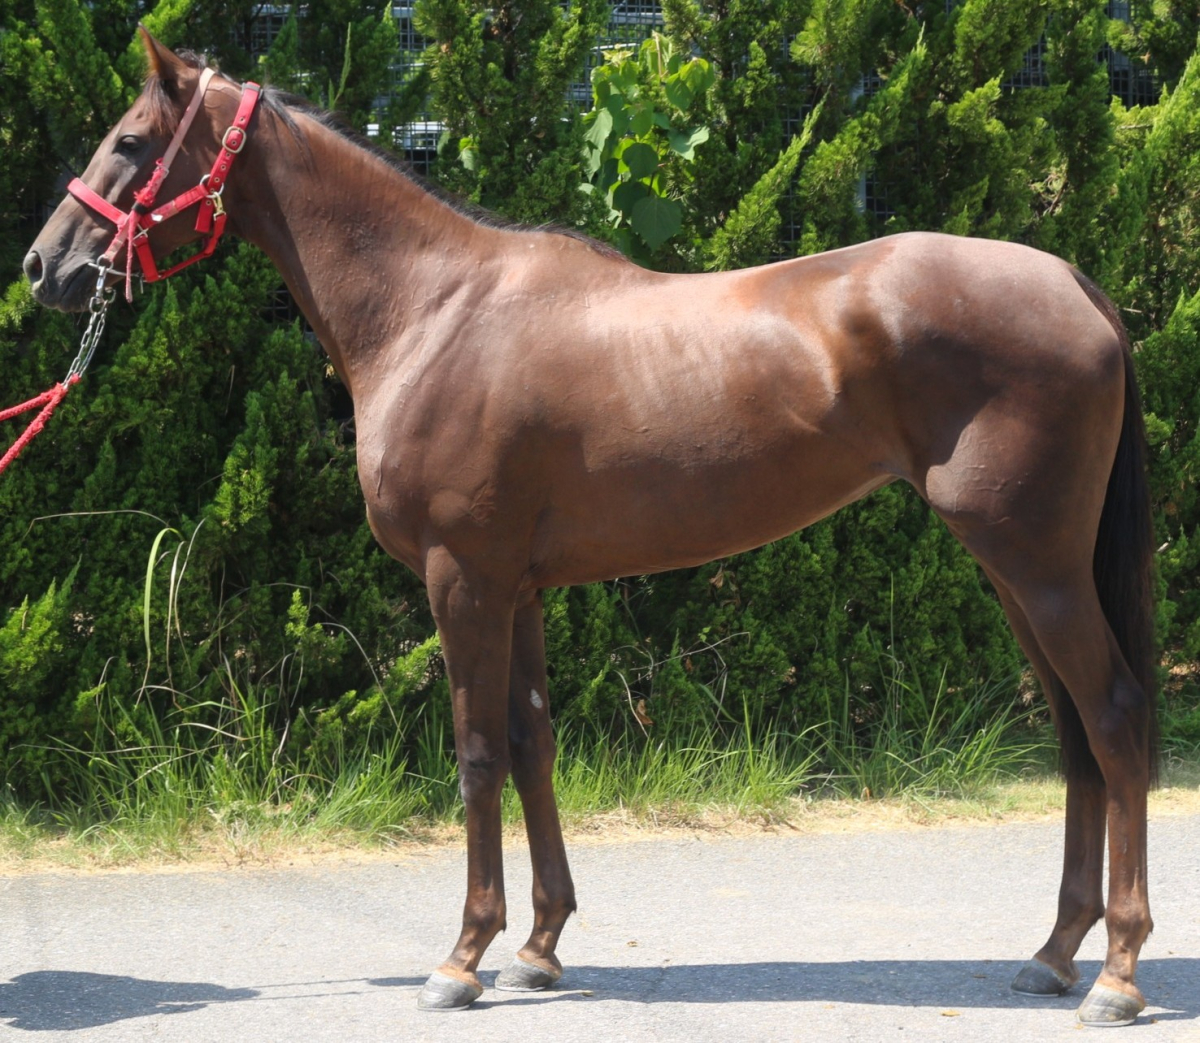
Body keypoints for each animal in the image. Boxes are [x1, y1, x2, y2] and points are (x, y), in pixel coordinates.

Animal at [24, 31, 1157, 1026]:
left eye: (132, 141)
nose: (43, 267)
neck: (434, 309)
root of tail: (1074, 282)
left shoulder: (463, 579)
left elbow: (478, 750)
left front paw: (462, 957)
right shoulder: (517, 585)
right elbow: (534, 742)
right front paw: (537, 947)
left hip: (1037, 563)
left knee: (1112, 717)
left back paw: (1116, 973)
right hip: (1016, 569)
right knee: (1073, 732)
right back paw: (1055, 952)